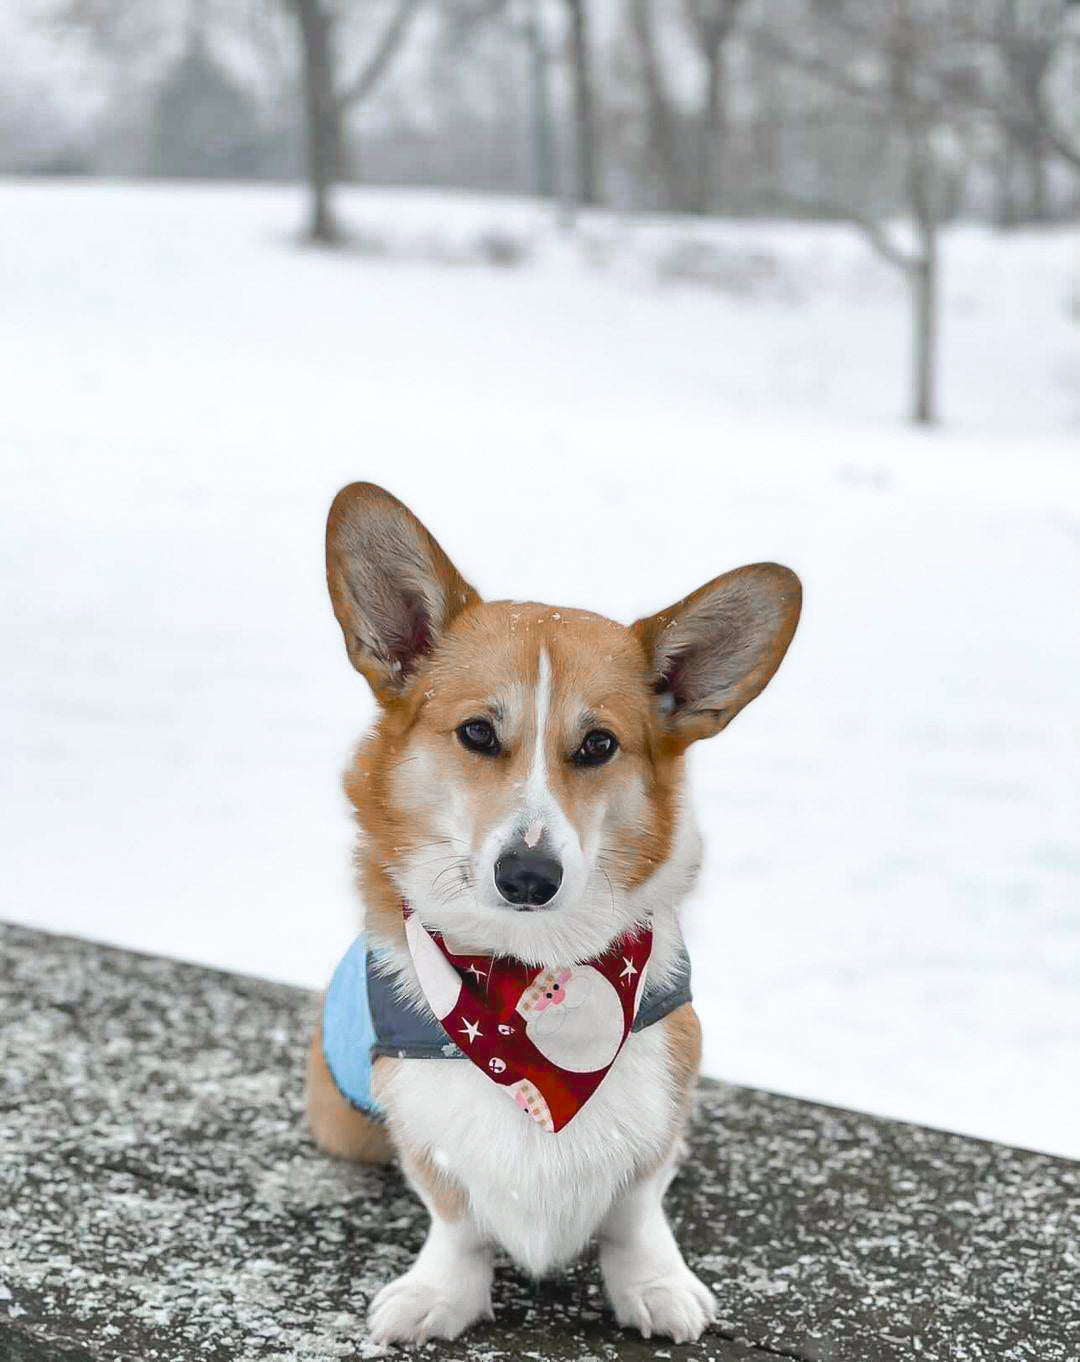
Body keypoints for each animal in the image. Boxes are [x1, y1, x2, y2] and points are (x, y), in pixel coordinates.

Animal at [307, 484, 795, 1345]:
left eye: (598, 745)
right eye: (477, 733)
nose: (528, 875)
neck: (530, 974)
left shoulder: (666, 1076)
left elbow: (637, 1207)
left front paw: (654, 1283)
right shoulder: (417, 1111)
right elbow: (455, 1216)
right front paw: (440, 1293)